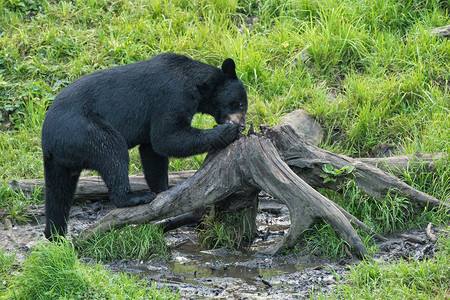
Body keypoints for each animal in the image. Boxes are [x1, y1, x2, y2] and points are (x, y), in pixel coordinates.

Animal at [41, 52, 246, 240]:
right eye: (241, 104)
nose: (242, 124)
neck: (196, 83)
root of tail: (48, 139)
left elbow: (152, 152)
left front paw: (164, 192)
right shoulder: (173, 96)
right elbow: (167, 137)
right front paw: (226, 132)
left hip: (61, 159)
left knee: (58, 193)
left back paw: (55, 234)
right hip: (84, 129)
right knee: (112, 152)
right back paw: (133, 198)